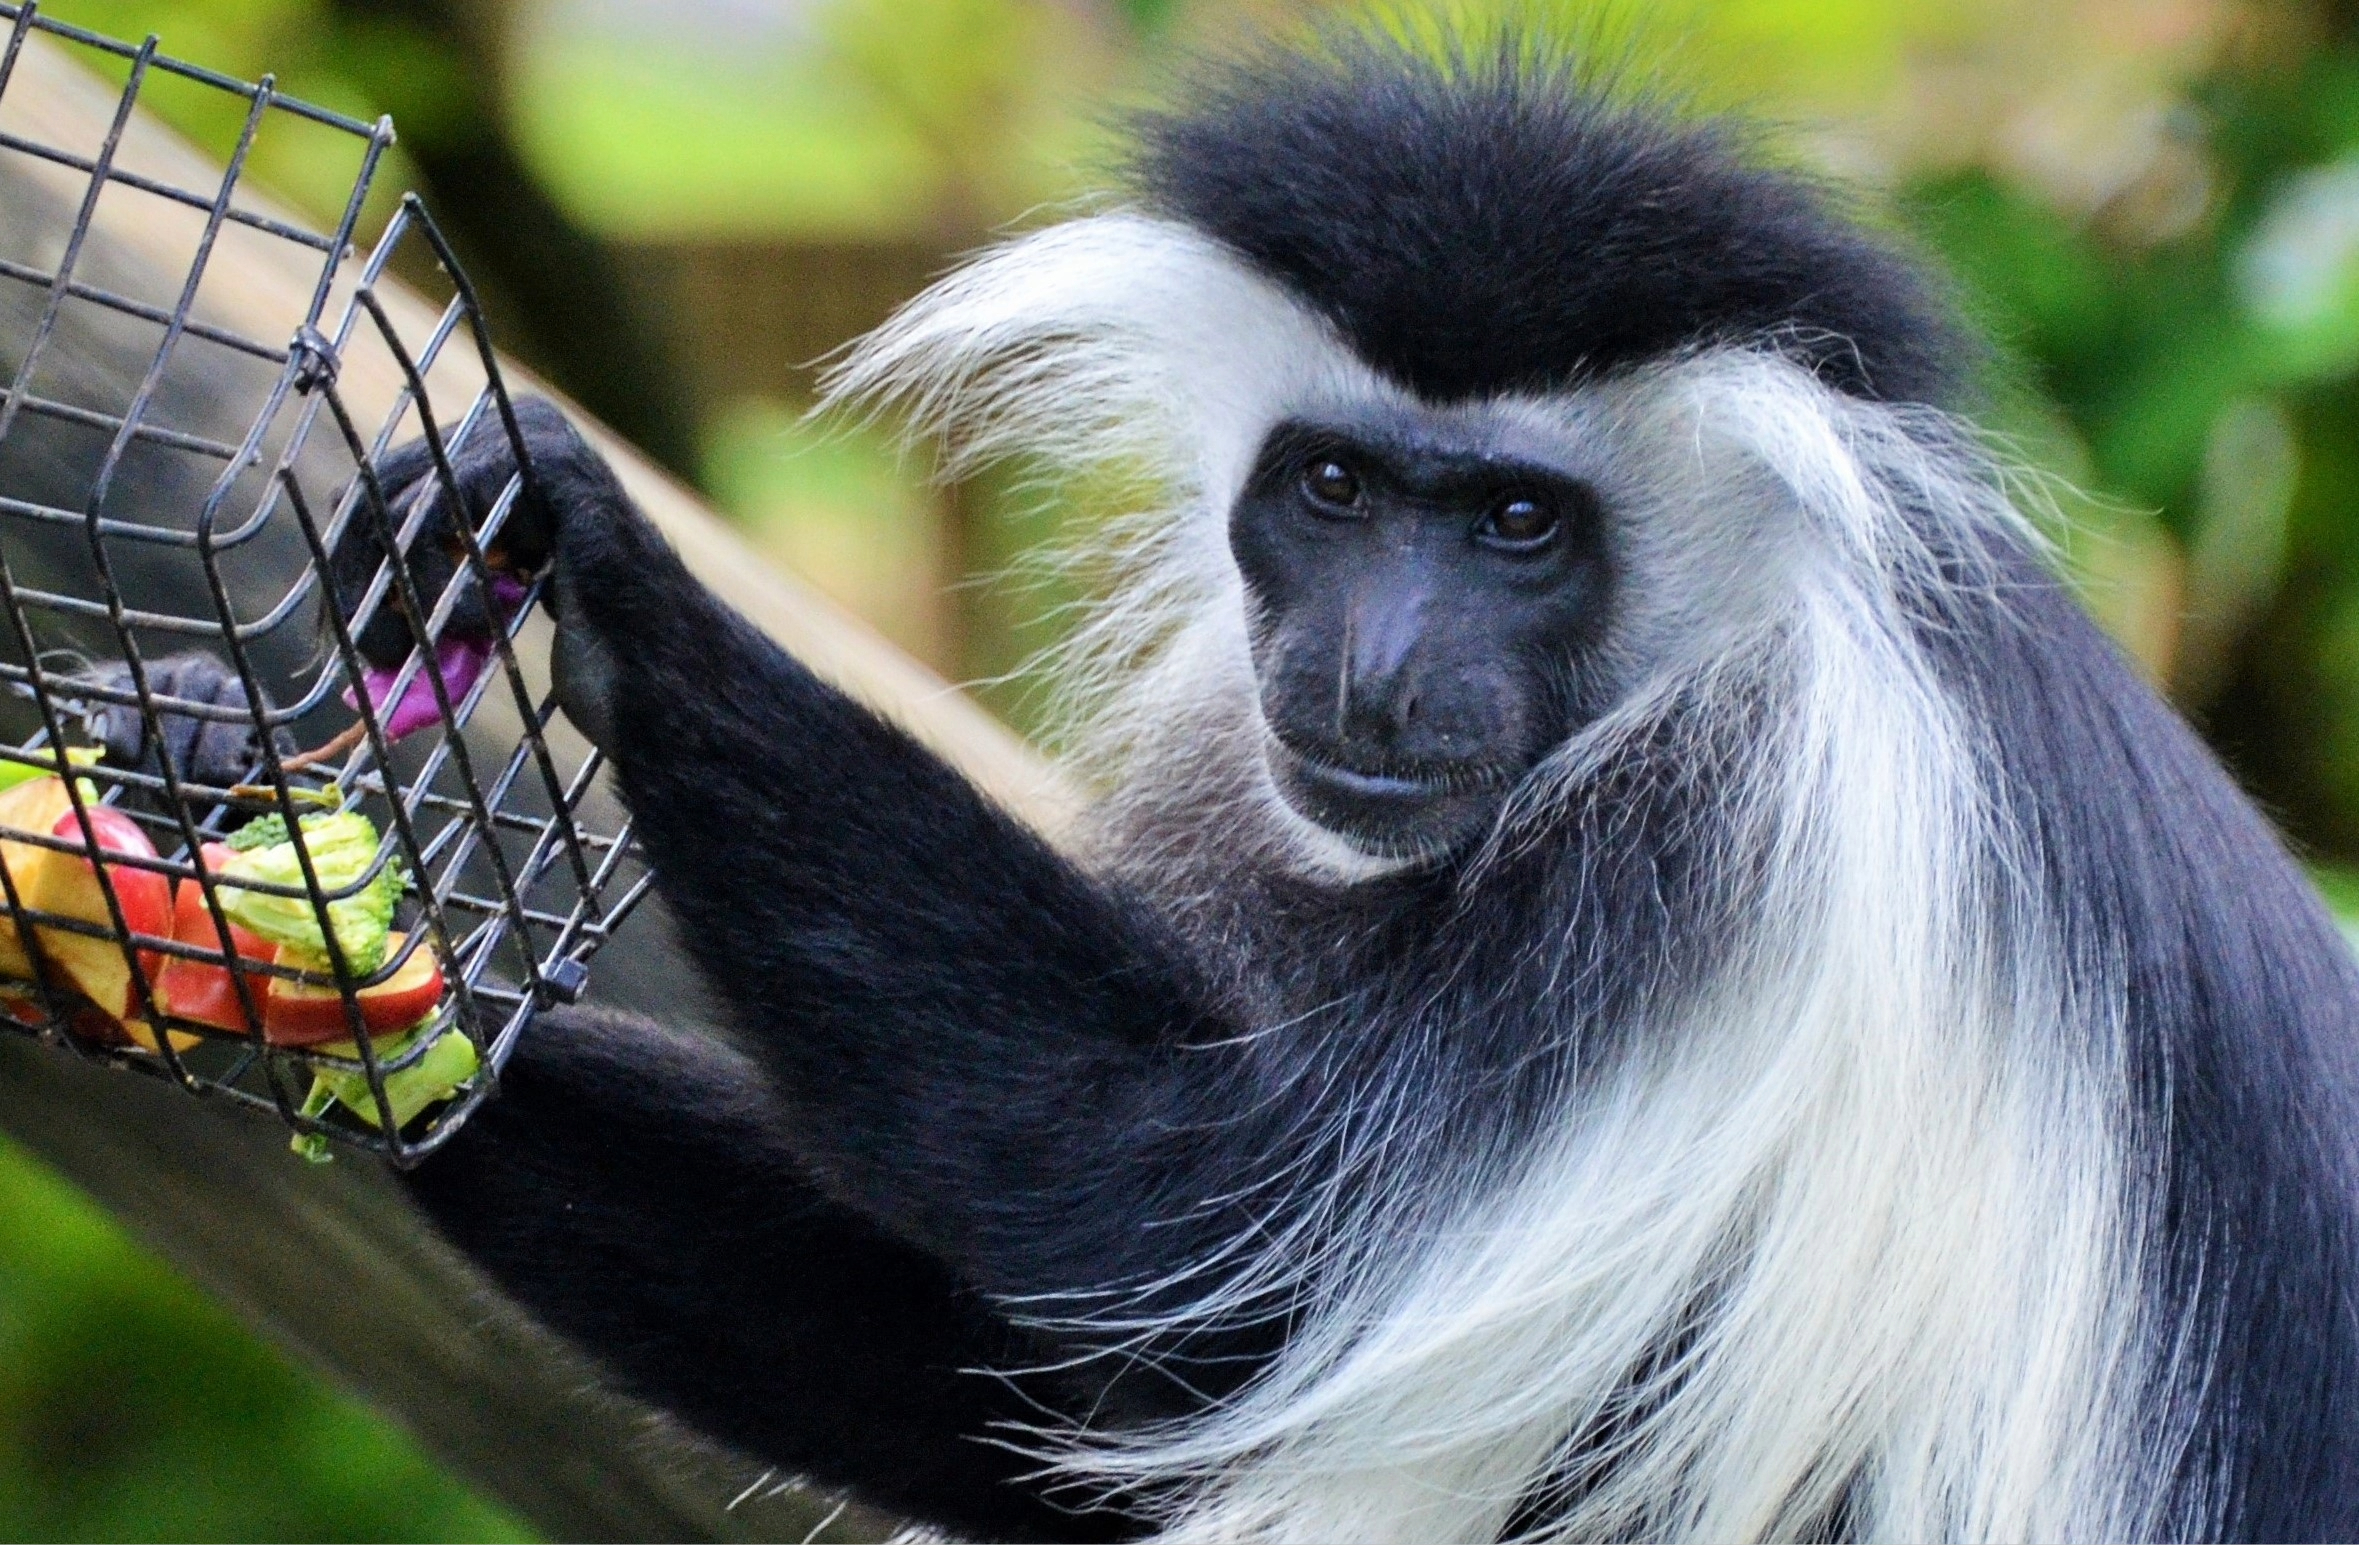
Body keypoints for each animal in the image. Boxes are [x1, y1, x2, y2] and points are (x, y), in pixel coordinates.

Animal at [357, 29, 2359, 1545]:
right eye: (1330, 487)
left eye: (1517, 522)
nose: (1375, 667)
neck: (1757, 612)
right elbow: (1044, 1376)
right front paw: (369, 1050)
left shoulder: (1735, 838)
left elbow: (1203, 1234)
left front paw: (606, 564)